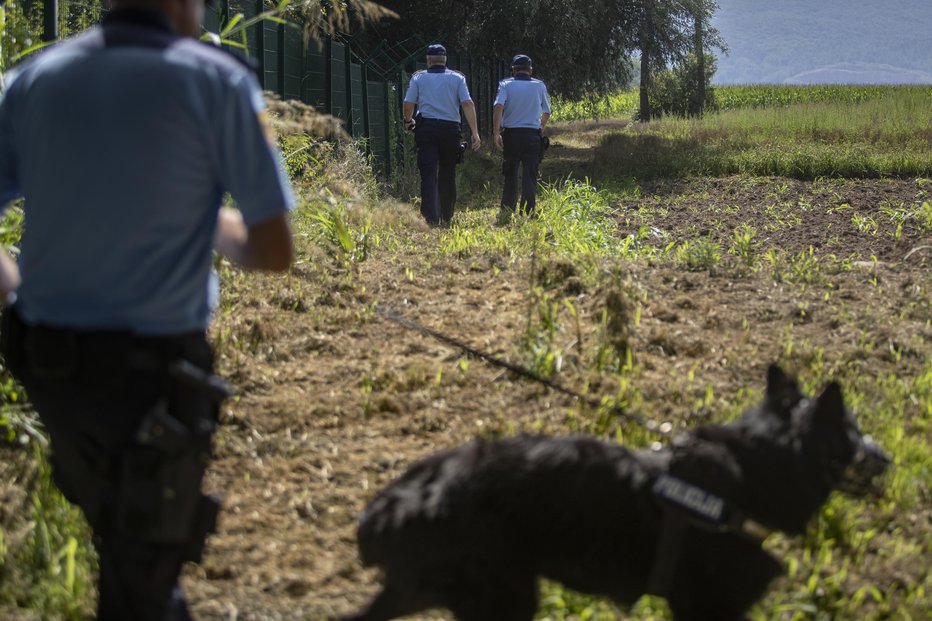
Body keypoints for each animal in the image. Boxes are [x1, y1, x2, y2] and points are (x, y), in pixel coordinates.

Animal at [346, 366, 892, 616]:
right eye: (853, 430)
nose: (888, 458)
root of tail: (405, 496)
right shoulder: (709, 606)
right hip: (500, 598)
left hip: (433, 590)